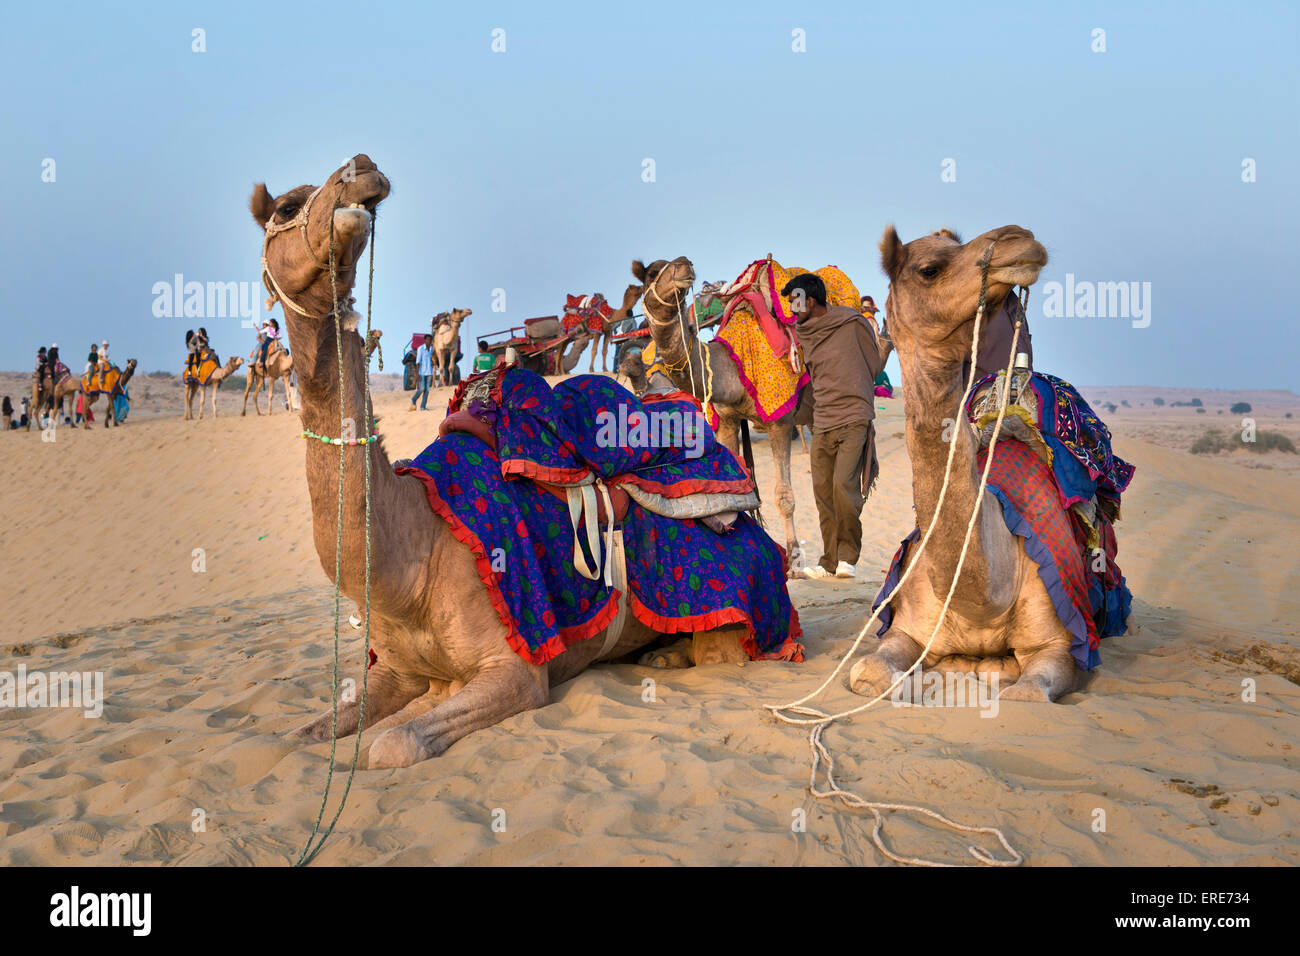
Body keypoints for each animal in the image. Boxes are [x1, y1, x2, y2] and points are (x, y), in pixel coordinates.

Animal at [251, 155, 765, 768]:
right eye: (286, 206)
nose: (362, 169)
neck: (412, 558)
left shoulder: (515, 669)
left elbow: (393, 743)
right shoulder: (393, 673)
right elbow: (297, 736)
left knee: (720, 652)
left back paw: (665, 657)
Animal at [635, 257, 806, 564]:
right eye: (651, 273)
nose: (684, 264)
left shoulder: (780, 420)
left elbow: (784, 496)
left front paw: (794, 560)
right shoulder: (727, 421)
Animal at [847, 224, 1076, 703]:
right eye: (930, 268)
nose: (1019, 237)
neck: (984, 599)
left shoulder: (1056, 644)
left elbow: (1025, 693)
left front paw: (994, 670)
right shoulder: (907, 629)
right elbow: (866, 674)